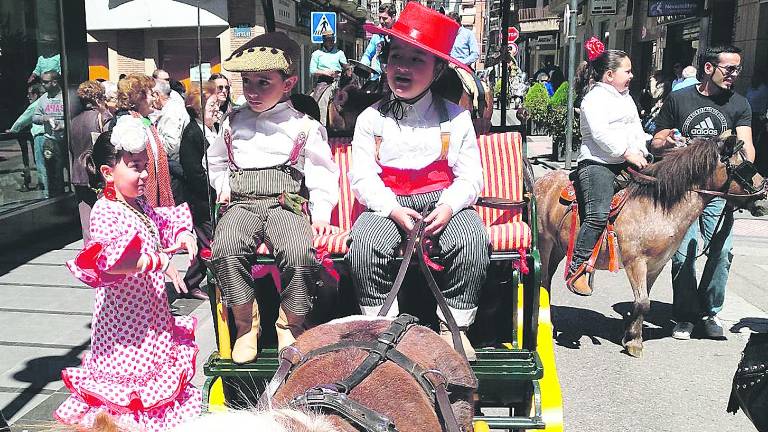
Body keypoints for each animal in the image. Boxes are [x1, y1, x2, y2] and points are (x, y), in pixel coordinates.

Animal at [536, 137, 764, 356]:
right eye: (746, 166)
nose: (764, 194)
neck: (657, 206)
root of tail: (541, 181)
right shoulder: (636, 262)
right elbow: (643, 302)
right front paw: (635, 343)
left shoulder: (656, 265)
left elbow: (643, 302)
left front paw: (631, 336)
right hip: (544, 244)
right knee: (543, 280)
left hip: (558, 247)